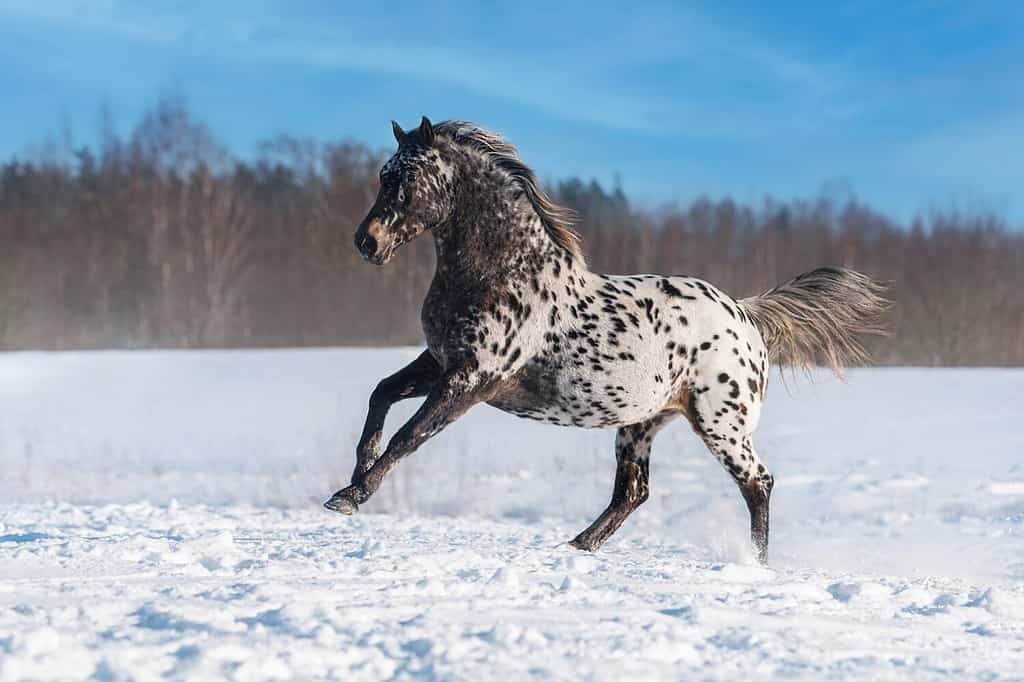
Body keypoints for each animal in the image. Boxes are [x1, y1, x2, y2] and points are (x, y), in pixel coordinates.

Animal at [323, 118, 884, 561]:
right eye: (384, 174)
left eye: (408, 178)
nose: (367, 241)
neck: (502, 271)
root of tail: (745, 316)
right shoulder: (440, 363)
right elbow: (381, 396)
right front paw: (356, 472)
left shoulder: (474, 379)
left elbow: (410, 434)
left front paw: (351, 495)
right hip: (641, 424)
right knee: (632, 494)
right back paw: (575, 546)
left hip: (721, 425)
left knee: (757, 483)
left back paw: (755, 563)